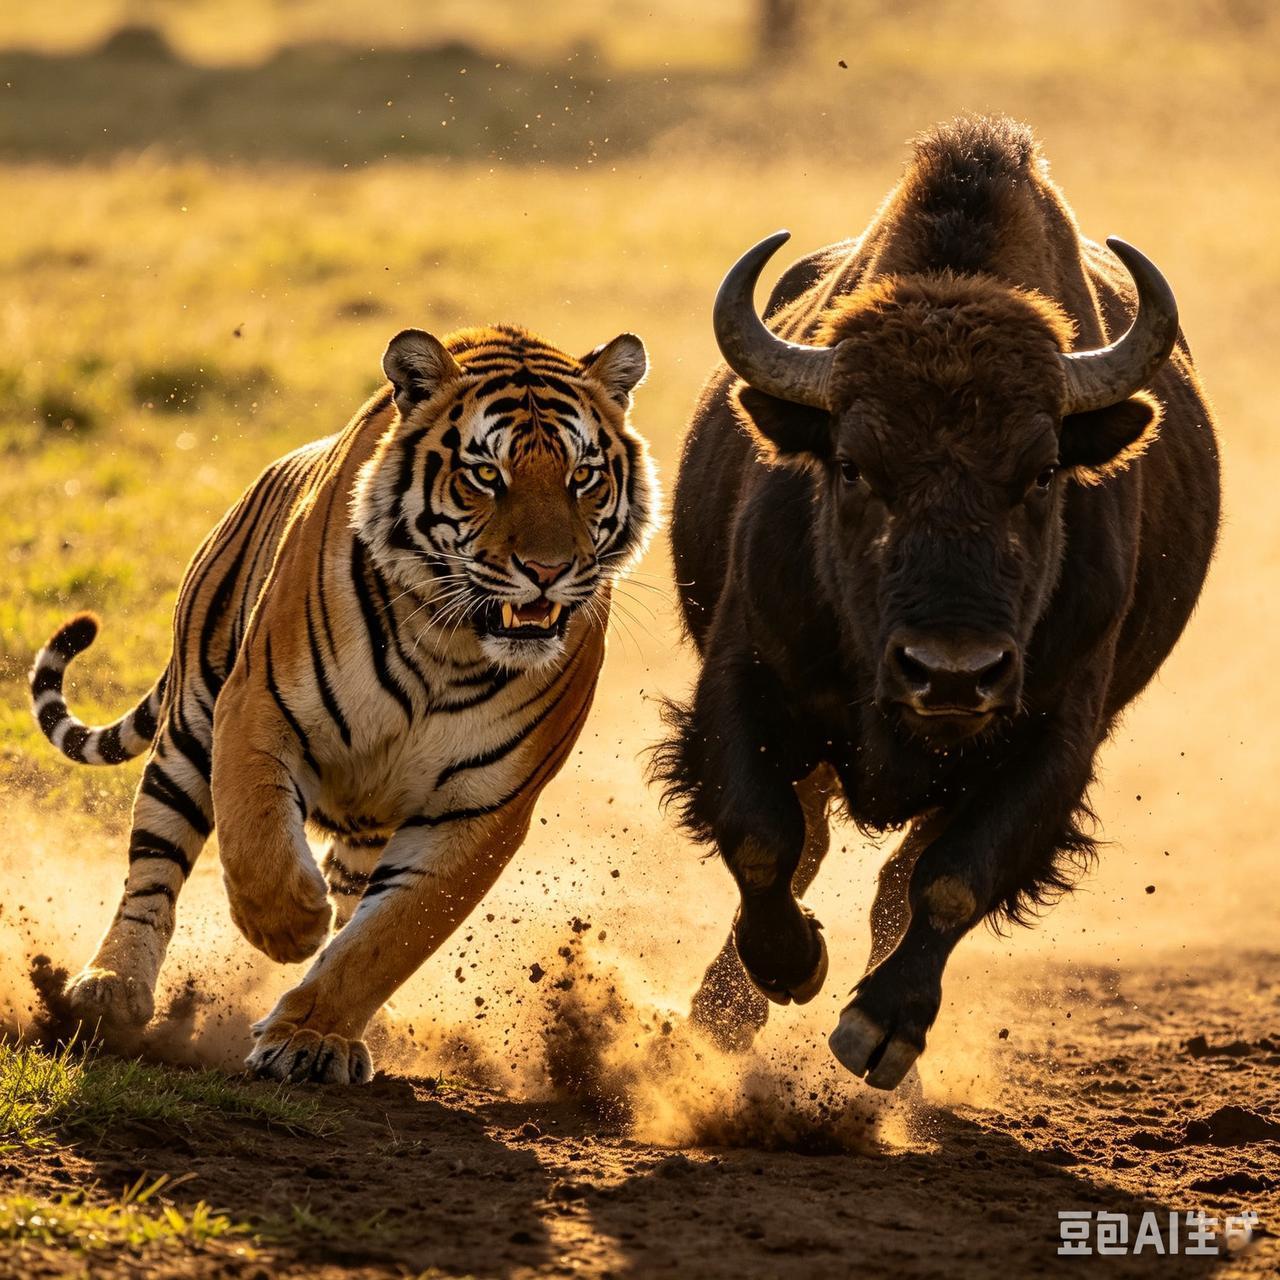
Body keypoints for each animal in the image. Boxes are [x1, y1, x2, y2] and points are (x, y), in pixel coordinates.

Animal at [29, 323, 656, 1084]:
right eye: (486, 475)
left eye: (583, 476)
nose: (547, 571)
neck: (451, 644)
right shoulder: (256, 712)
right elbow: (258, 842)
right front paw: (291, 926)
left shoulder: (482, 807)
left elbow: (388, 938)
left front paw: (312, 1037)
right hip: (190, 730)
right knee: (153, 867)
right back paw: (109, 989)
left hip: (368, 823)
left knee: (354, 894)